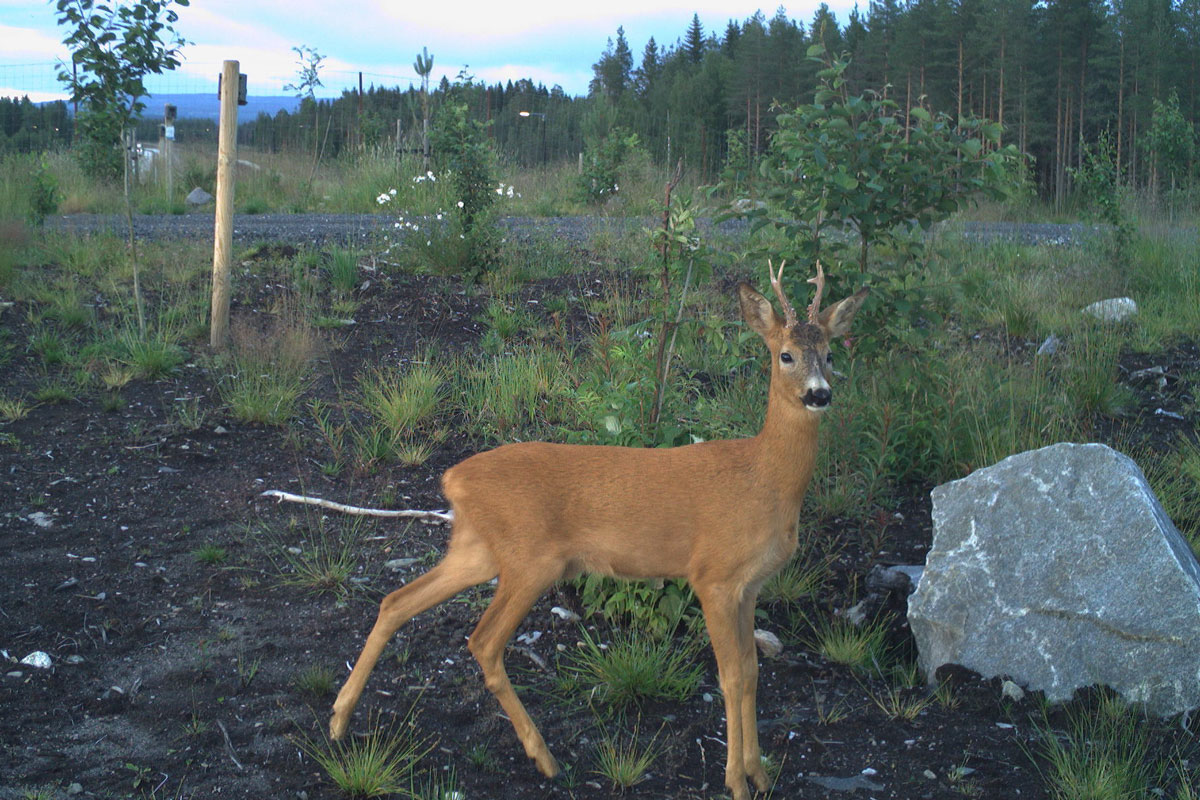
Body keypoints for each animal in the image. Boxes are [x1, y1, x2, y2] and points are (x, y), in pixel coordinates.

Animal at [333, 262, 868, 800]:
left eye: (829, 354)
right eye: (785, 355)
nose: (819, 393)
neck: (765, 478)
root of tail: (452, 478)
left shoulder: (750, 585)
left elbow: (755, 673)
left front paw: (759, 774)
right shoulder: (712, 575)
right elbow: (733, 675)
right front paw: (736, 781)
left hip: (477, 550)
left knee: (396, 601)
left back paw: (339, 718)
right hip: (531, 559)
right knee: (482, 640)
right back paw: (544, 757)